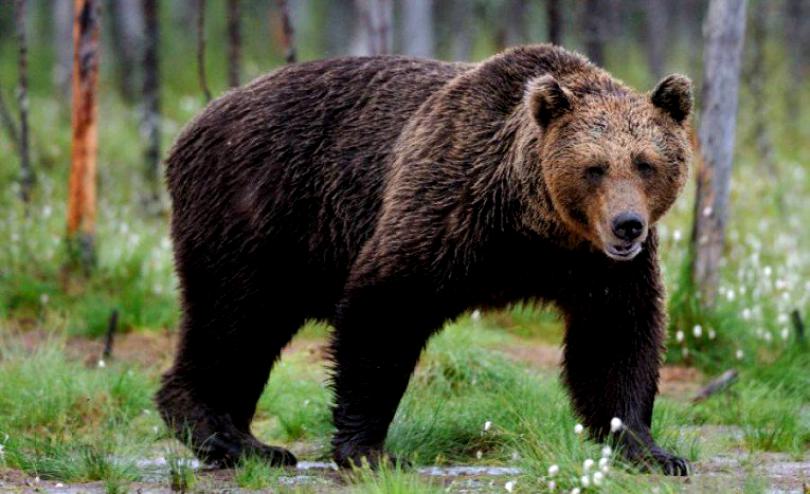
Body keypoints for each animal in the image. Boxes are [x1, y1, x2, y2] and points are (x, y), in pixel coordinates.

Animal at [156, 45, 688, 474]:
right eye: (593, 167)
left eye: (645, 163)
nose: (627, 225)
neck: (534, 226)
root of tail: (193, 122)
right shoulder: (450, 205)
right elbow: (386, 306)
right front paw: (370, 450)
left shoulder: (598, 266)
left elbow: (616, 339)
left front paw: (650, 450)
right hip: (257, 210)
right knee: (235, 318)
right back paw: (227, 437)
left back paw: (247, 440)